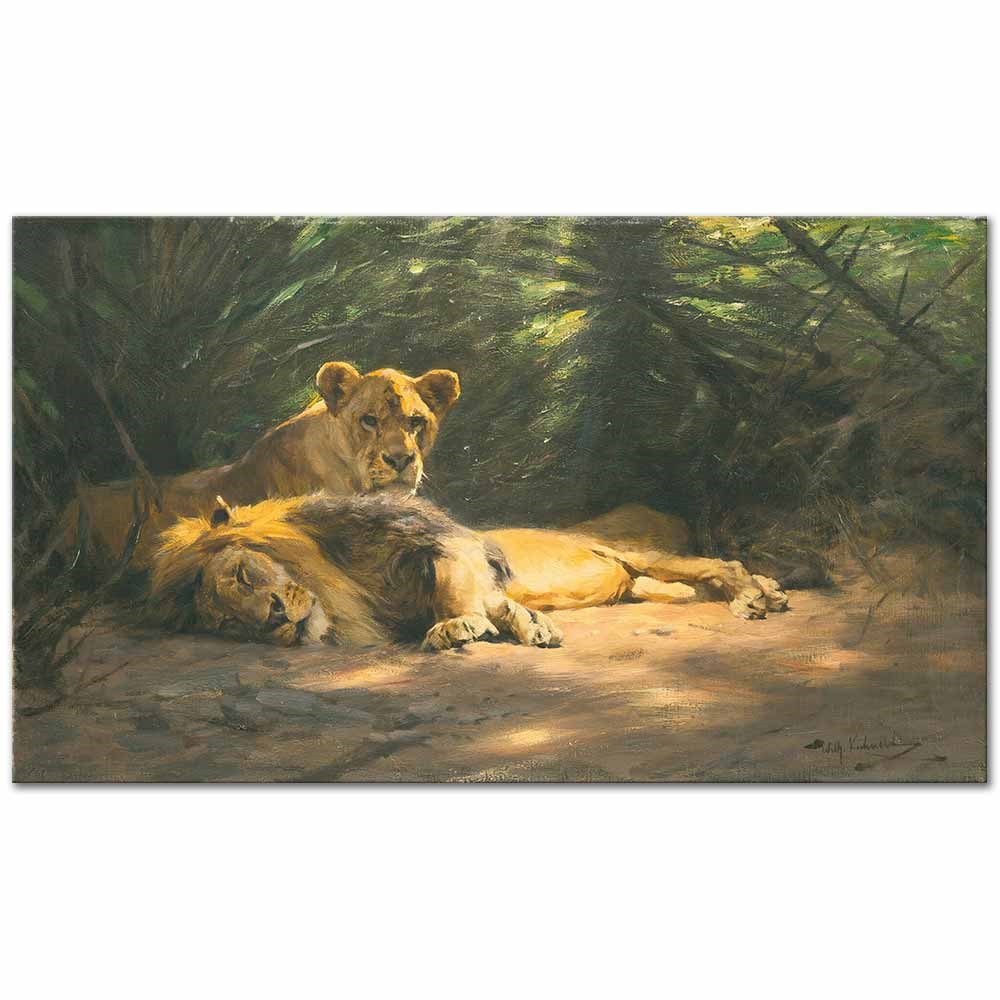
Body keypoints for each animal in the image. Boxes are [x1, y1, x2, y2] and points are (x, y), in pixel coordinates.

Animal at [148, 492, 563, 652]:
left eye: (242, 575)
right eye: (229, 623)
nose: (273, 617)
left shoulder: (422, 531)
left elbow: (455, 581)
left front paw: (458, 622)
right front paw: (525, 621)